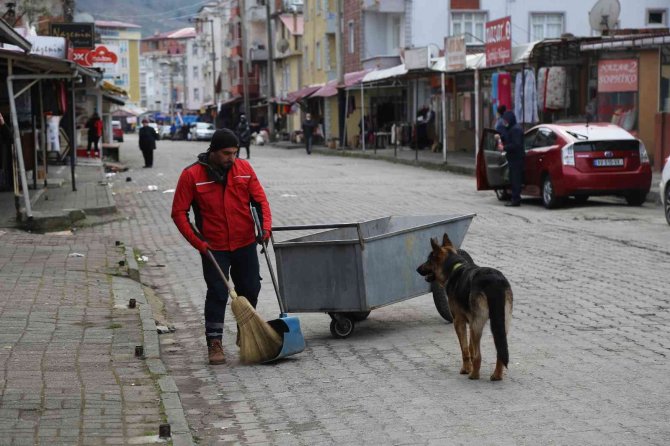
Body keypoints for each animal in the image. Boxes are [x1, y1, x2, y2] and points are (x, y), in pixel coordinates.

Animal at [414, 233, 516, 380]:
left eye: (429, 260)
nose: (417, 269)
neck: (455, 267)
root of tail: (494, 280)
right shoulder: (471, 323)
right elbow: (470, 347)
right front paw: (470, 366)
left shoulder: (459, 322)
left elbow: (465, 349)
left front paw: (466, 369)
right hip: (501, 323)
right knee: (500, 350)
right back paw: (496, 375)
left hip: (478, 324)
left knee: (479, 355)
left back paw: (474, 375)